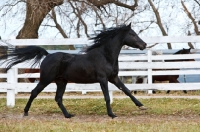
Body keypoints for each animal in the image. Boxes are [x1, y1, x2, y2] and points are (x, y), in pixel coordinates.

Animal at [0, 23, 147, 118]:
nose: (144, 44)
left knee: (58, 98)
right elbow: (107, 97)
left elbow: (127, 90)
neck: (105, 56)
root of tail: (47, 55)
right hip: (45, 80)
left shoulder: (113, 78)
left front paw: (142, 106)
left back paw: (68, 115)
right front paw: (112, 115)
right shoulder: (103, 79)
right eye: (133, 34)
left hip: (61, 82)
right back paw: (25, 112)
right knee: (34, 92)